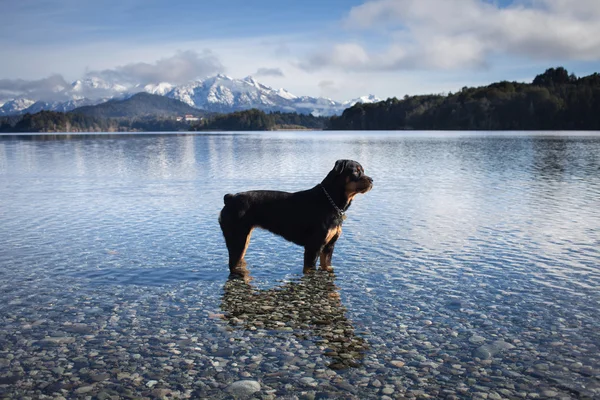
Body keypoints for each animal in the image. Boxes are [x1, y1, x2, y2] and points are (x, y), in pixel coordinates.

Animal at [218, 159, 372, 276]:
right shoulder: (313, 247)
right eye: (355, 171)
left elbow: (326, 266)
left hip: (244, 239)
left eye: (363, 170)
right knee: (232, 264)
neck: (331, 201)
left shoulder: (329, 246)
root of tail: (230, 198)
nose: (372, 180)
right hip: (237, 239)